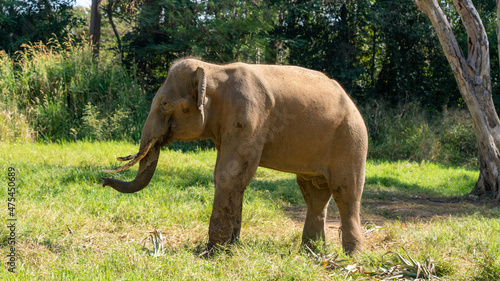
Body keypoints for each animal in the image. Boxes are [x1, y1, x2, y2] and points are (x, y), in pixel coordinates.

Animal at [100, 58, 368, 255]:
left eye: (164, 104)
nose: (102, 180)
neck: (213, 69)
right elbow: (230, 175)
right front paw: (231, 247)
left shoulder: (249, 116)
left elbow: (229, 174)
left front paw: (212, 252)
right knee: (314, 193)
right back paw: (310, 252)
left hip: (350, 140)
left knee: (345, 191)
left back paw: (351, 256)